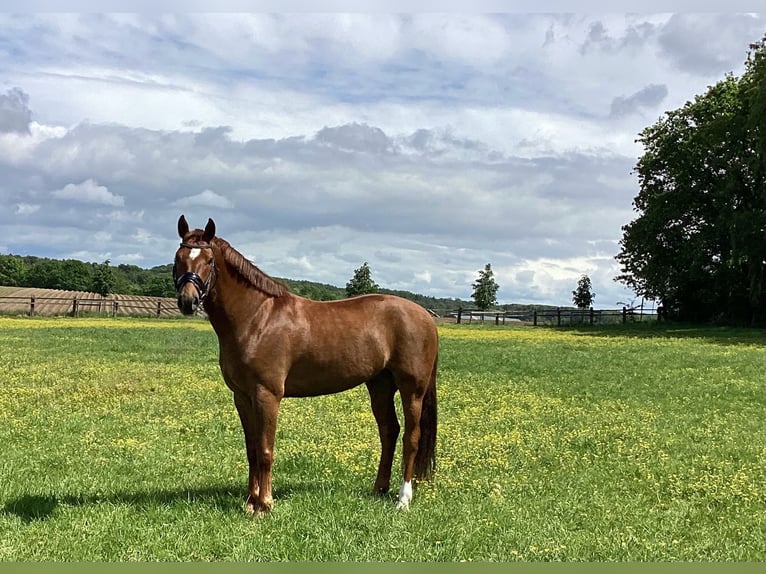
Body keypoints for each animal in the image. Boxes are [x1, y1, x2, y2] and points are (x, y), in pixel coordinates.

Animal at [172, 215, 438, 514]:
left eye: (208, 260)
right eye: (178, 258)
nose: (188, 301)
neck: (257, 318)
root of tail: (425, 316)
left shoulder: (267, 395)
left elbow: (265, 450)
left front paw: (264, 505)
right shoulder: (241, 396)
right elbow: (251, 449)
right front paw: (250, 502)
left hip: (412, 389)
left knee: (411, 438)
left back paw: (403, 499)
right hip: (380, 386)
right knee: (389, 432)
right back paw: (379, 489)